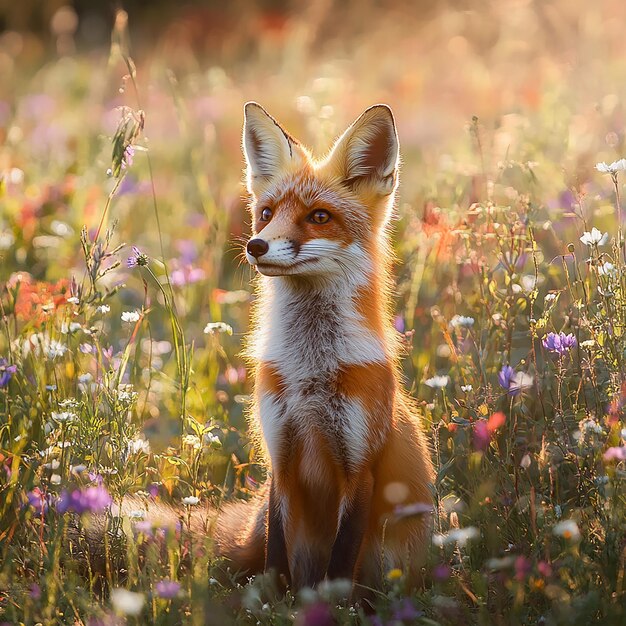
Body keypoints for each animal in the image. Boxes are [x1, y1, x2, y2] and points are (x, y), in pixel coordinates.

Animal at [212, 102, 432, 596]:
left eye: (319, 217)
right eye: (266, 213)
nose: (256, 245)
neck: (310, 371)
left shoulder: (360, 466)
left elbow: (341, 562)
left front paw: (331, 606)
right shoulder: (279, 457)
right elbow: (277, 556)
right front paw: (273, 602)